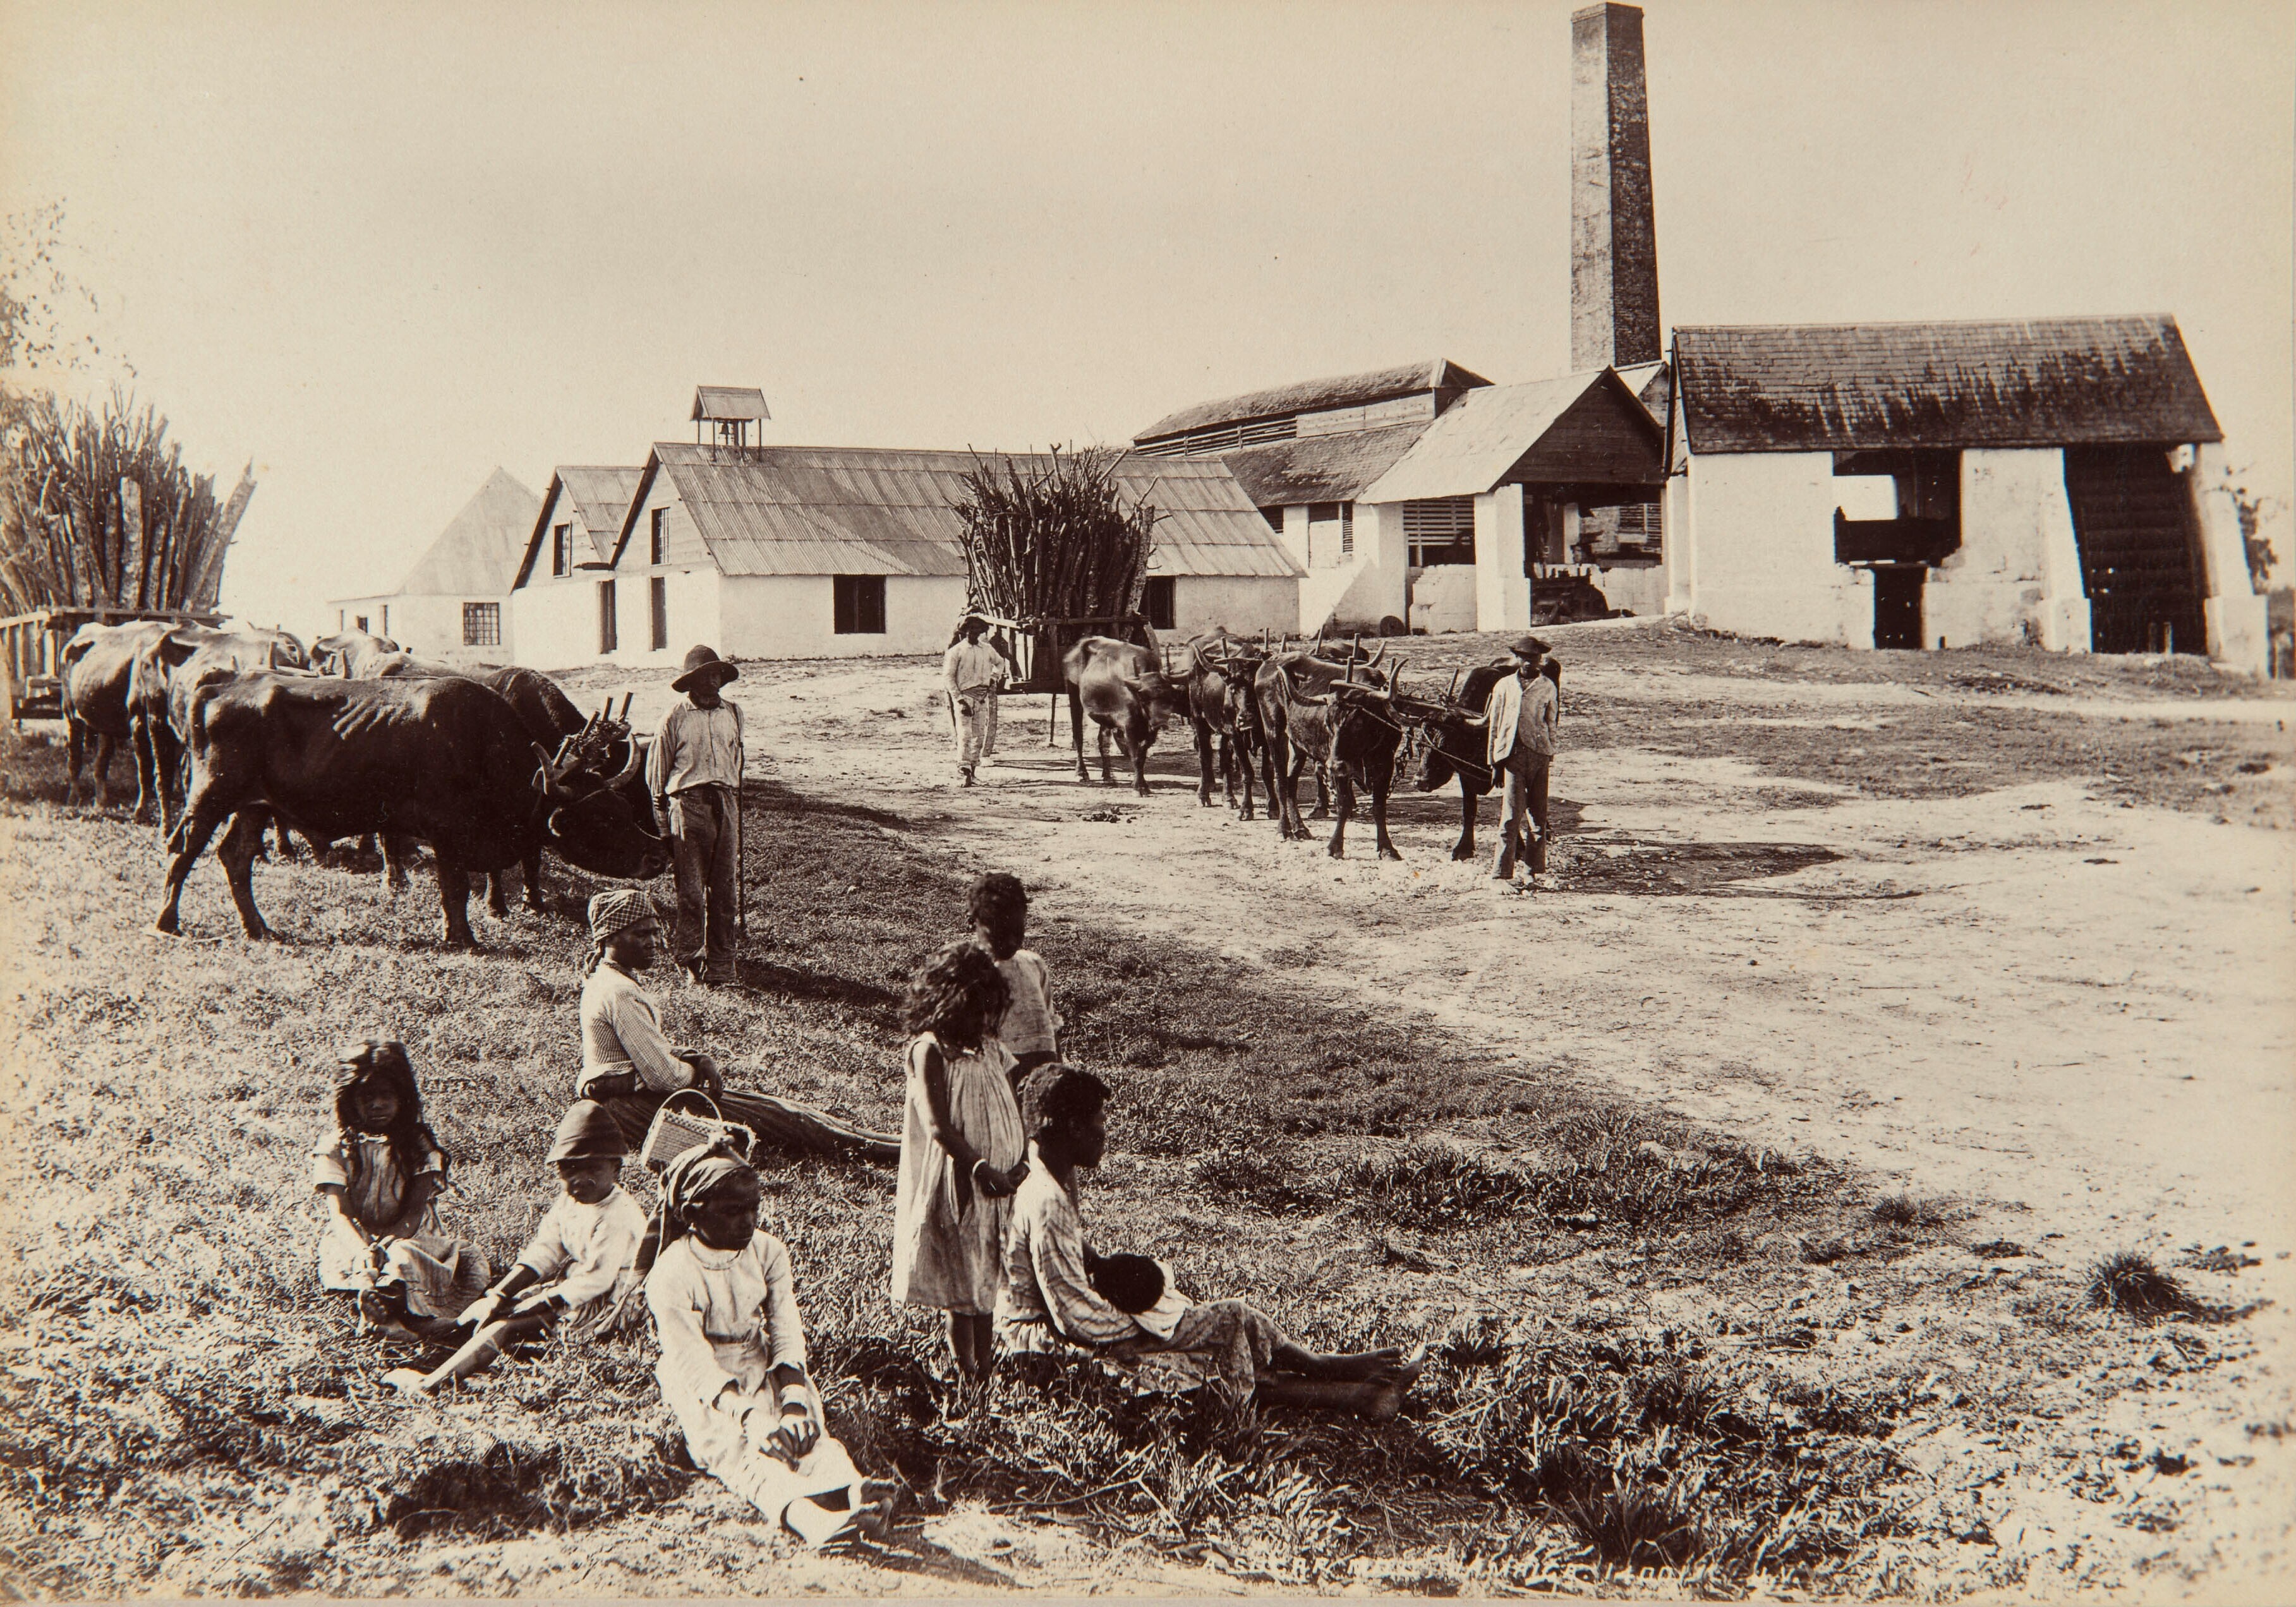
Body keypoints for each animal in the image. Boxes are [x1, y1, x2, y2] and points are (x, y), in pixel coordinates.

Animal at [59, 620, 177, 816]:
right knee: (75, 756)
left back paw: (101, 802)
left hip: (105, 722)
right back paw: (74, 798)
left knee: (101, 762)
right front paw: (141, 810)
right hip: (70, 712)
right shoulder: (139, 721)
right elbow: (145, 769)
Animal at [150, 671, 668, 948]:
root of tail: (221, 683)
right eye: (603, 818)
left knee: (235, 857)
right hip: (210, 796)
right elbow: (454, 888)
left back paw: (258, 927)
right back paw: (167, 922)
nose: (658, 854)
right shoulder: (445, 832)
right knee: (183, 850)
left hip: (254, 806)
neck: (479, 745)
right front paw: (462, 938)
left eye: (622, 806)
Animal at [1060, 635, 1189, 796]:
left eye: (1169, 698)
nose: (1160, 723)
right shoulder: (1129, 727)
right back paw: (1081, 773)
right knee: (1078, 736)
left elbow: (1142, 754)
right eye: (1145, 698)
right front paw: (1139, 787)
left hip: (1106, 717)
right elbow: (1136, 756)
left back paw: (1108, 776)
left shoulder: (1150, 732)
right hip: (1073, 694)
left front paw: (1141, 783)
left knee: (1103, 742)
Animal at [1254, 644, 1406, 860]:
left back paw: (1300, 828)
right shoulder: (1342, 769)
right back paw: (1284, 830)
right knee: (1281, 782)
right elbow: (1344, 804)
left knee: (1291, 783)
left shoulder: (1386, 763)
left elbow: (1379, 806)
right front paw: (1335, 847)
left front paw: (1387, 849)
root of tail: (1270, 662)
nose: (1333, 765)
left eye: (1359, 722)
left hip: (1298, 744)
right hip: (1273, 732)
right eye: (1328, 723)